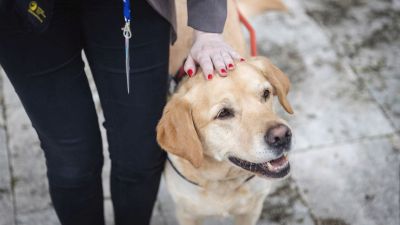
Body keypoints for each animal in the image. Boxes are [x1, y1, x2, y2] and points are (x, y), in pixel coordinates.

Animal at [157, 0, 294, 225]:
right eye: (223, 113)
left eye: (266, 93)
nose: (282, 136)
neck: (223, 181)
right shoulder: (187, 214)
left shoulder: (251, 210)